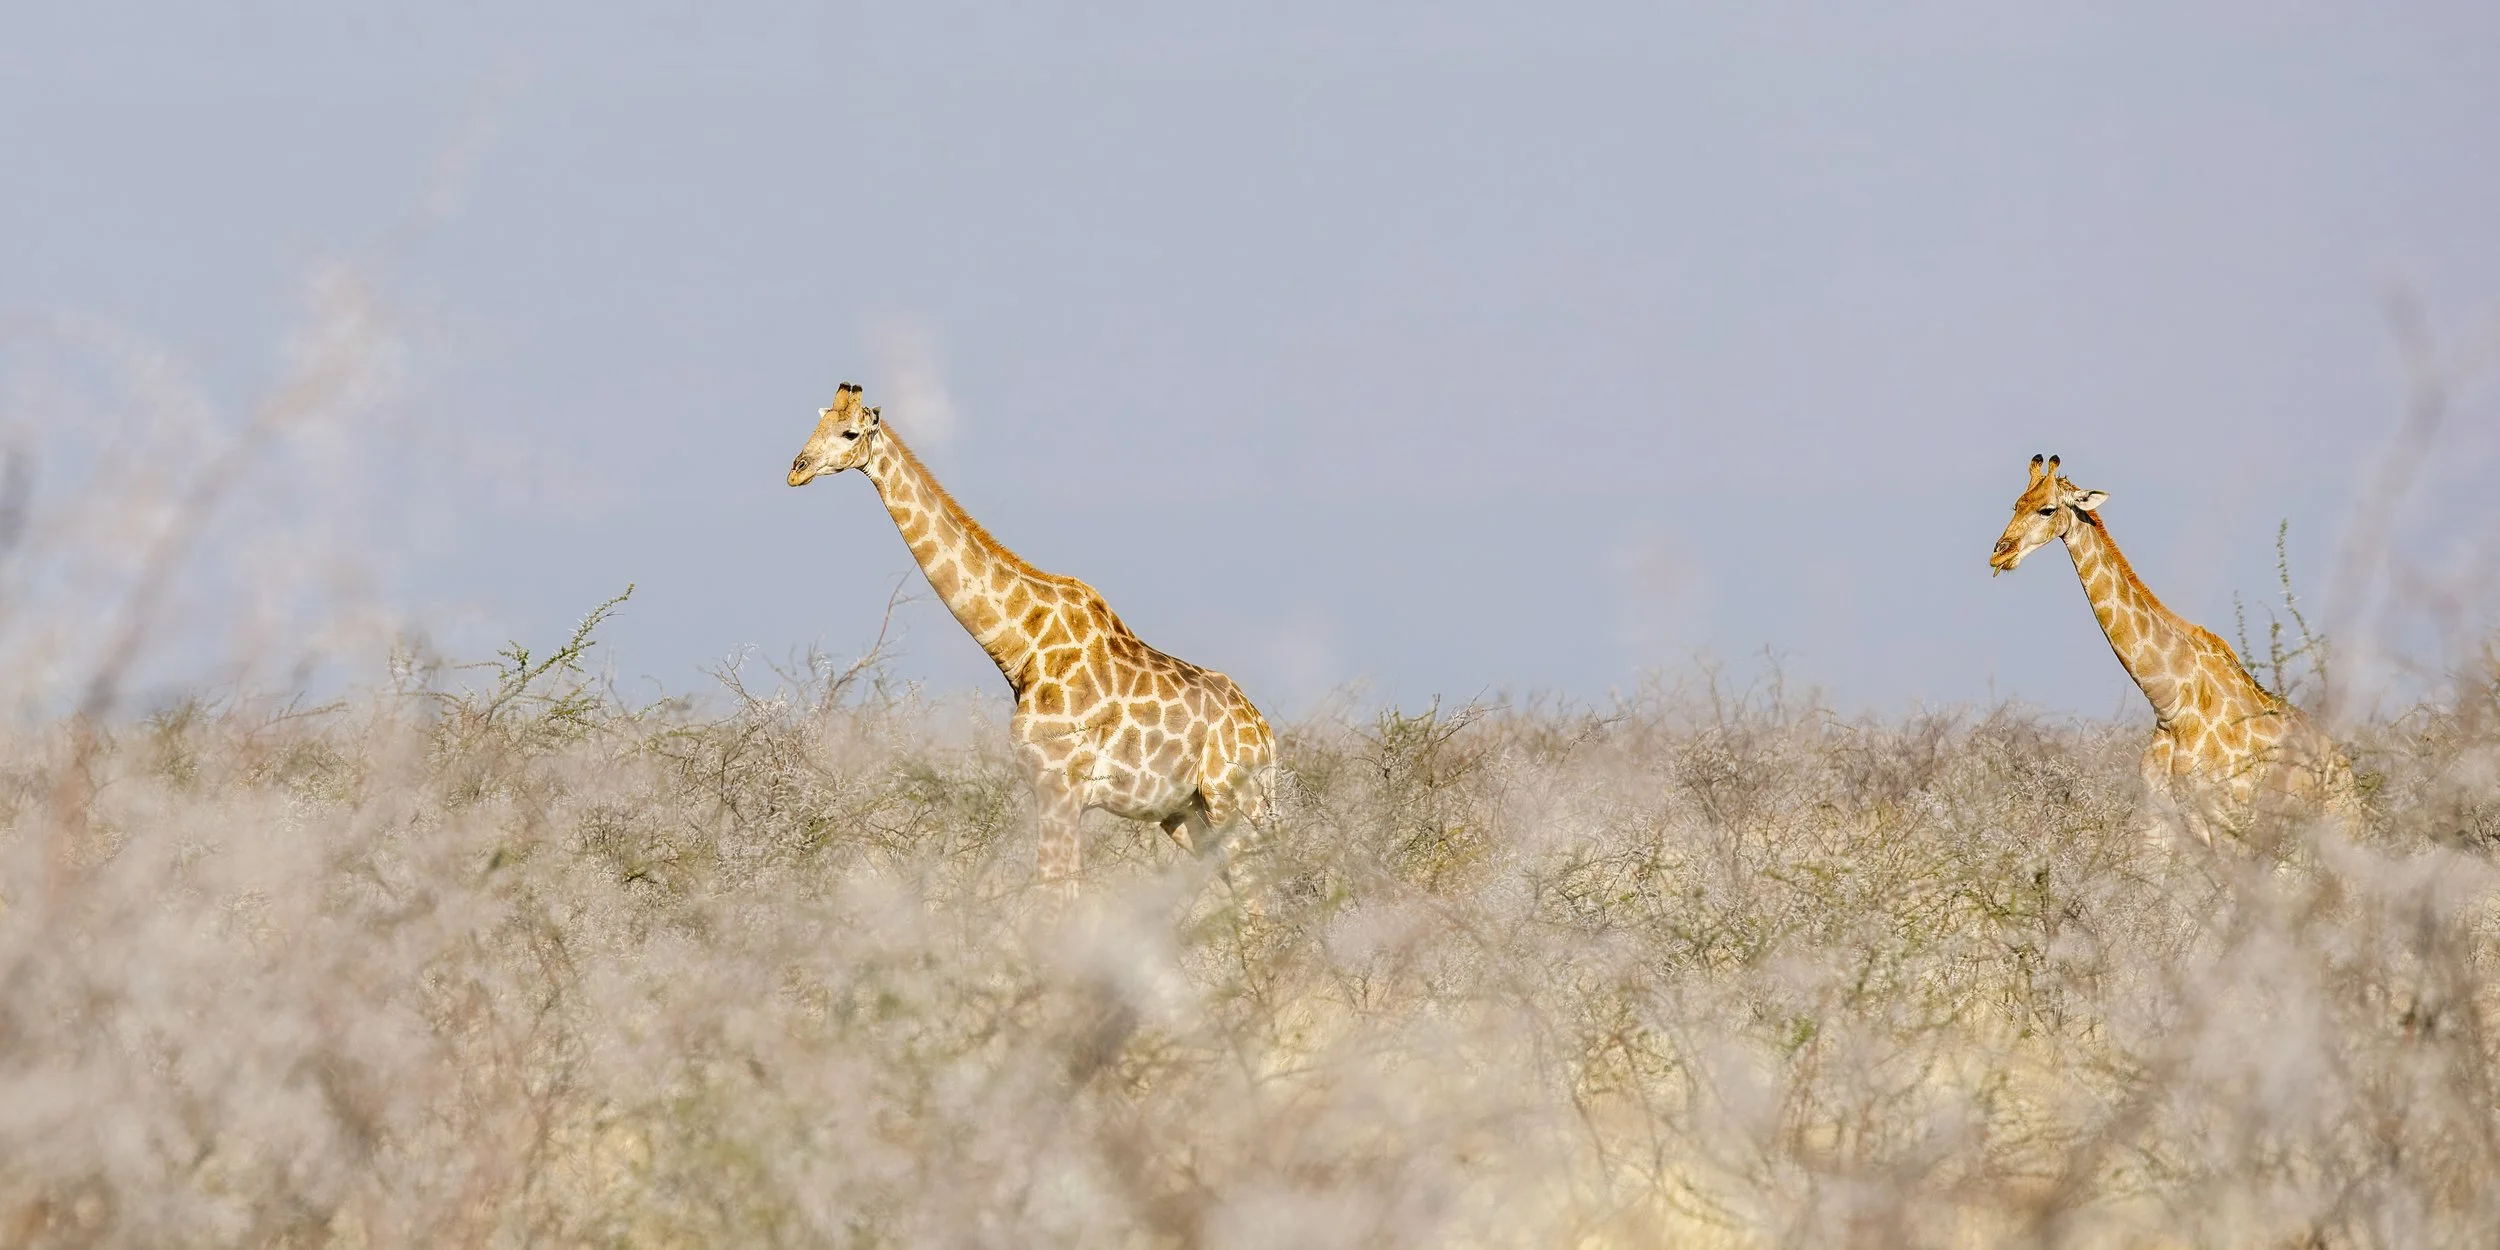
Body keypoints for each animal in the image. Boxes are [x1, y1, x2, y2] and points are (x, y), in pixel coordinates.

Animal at [787, 382, 1277, 899]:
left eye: (850, 432)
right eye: (817, 424)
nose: (796, 469)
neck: (1023, 646)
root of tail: (1265, 733)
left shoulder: (1060, 786)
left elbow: (1053, 894)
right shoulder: (1051, 791)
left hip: (1232, 801)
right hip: (1186, 814)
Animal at [1989, 454, 2354, 839]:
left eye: (2047, 510)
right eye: (2016, 505)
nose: (1999, 554)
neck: (2170, 705)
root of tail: (2346, 770)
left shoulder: (2226, 823)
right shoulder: (2156, 821)